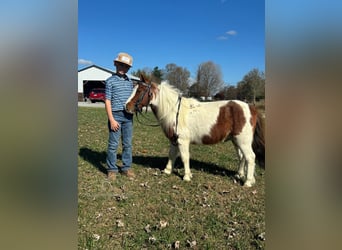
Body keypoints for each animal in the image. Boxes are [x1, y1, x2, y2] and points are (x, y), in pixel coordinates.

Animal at [125, 76, 264, 188]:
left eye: (139, 91)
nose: (126, 107)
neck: (174, 111)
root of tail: (251, 107)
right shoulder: (174, 140)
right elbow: (172, 155)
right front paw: (167, 170)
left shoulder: (182, 141)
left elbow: (185, 157)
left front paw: (187, 176)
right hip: (236, 141)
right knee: (242, 157)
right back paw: (240, 175)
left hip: (243, 141)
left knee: (250, 157)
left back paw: (248, 182)